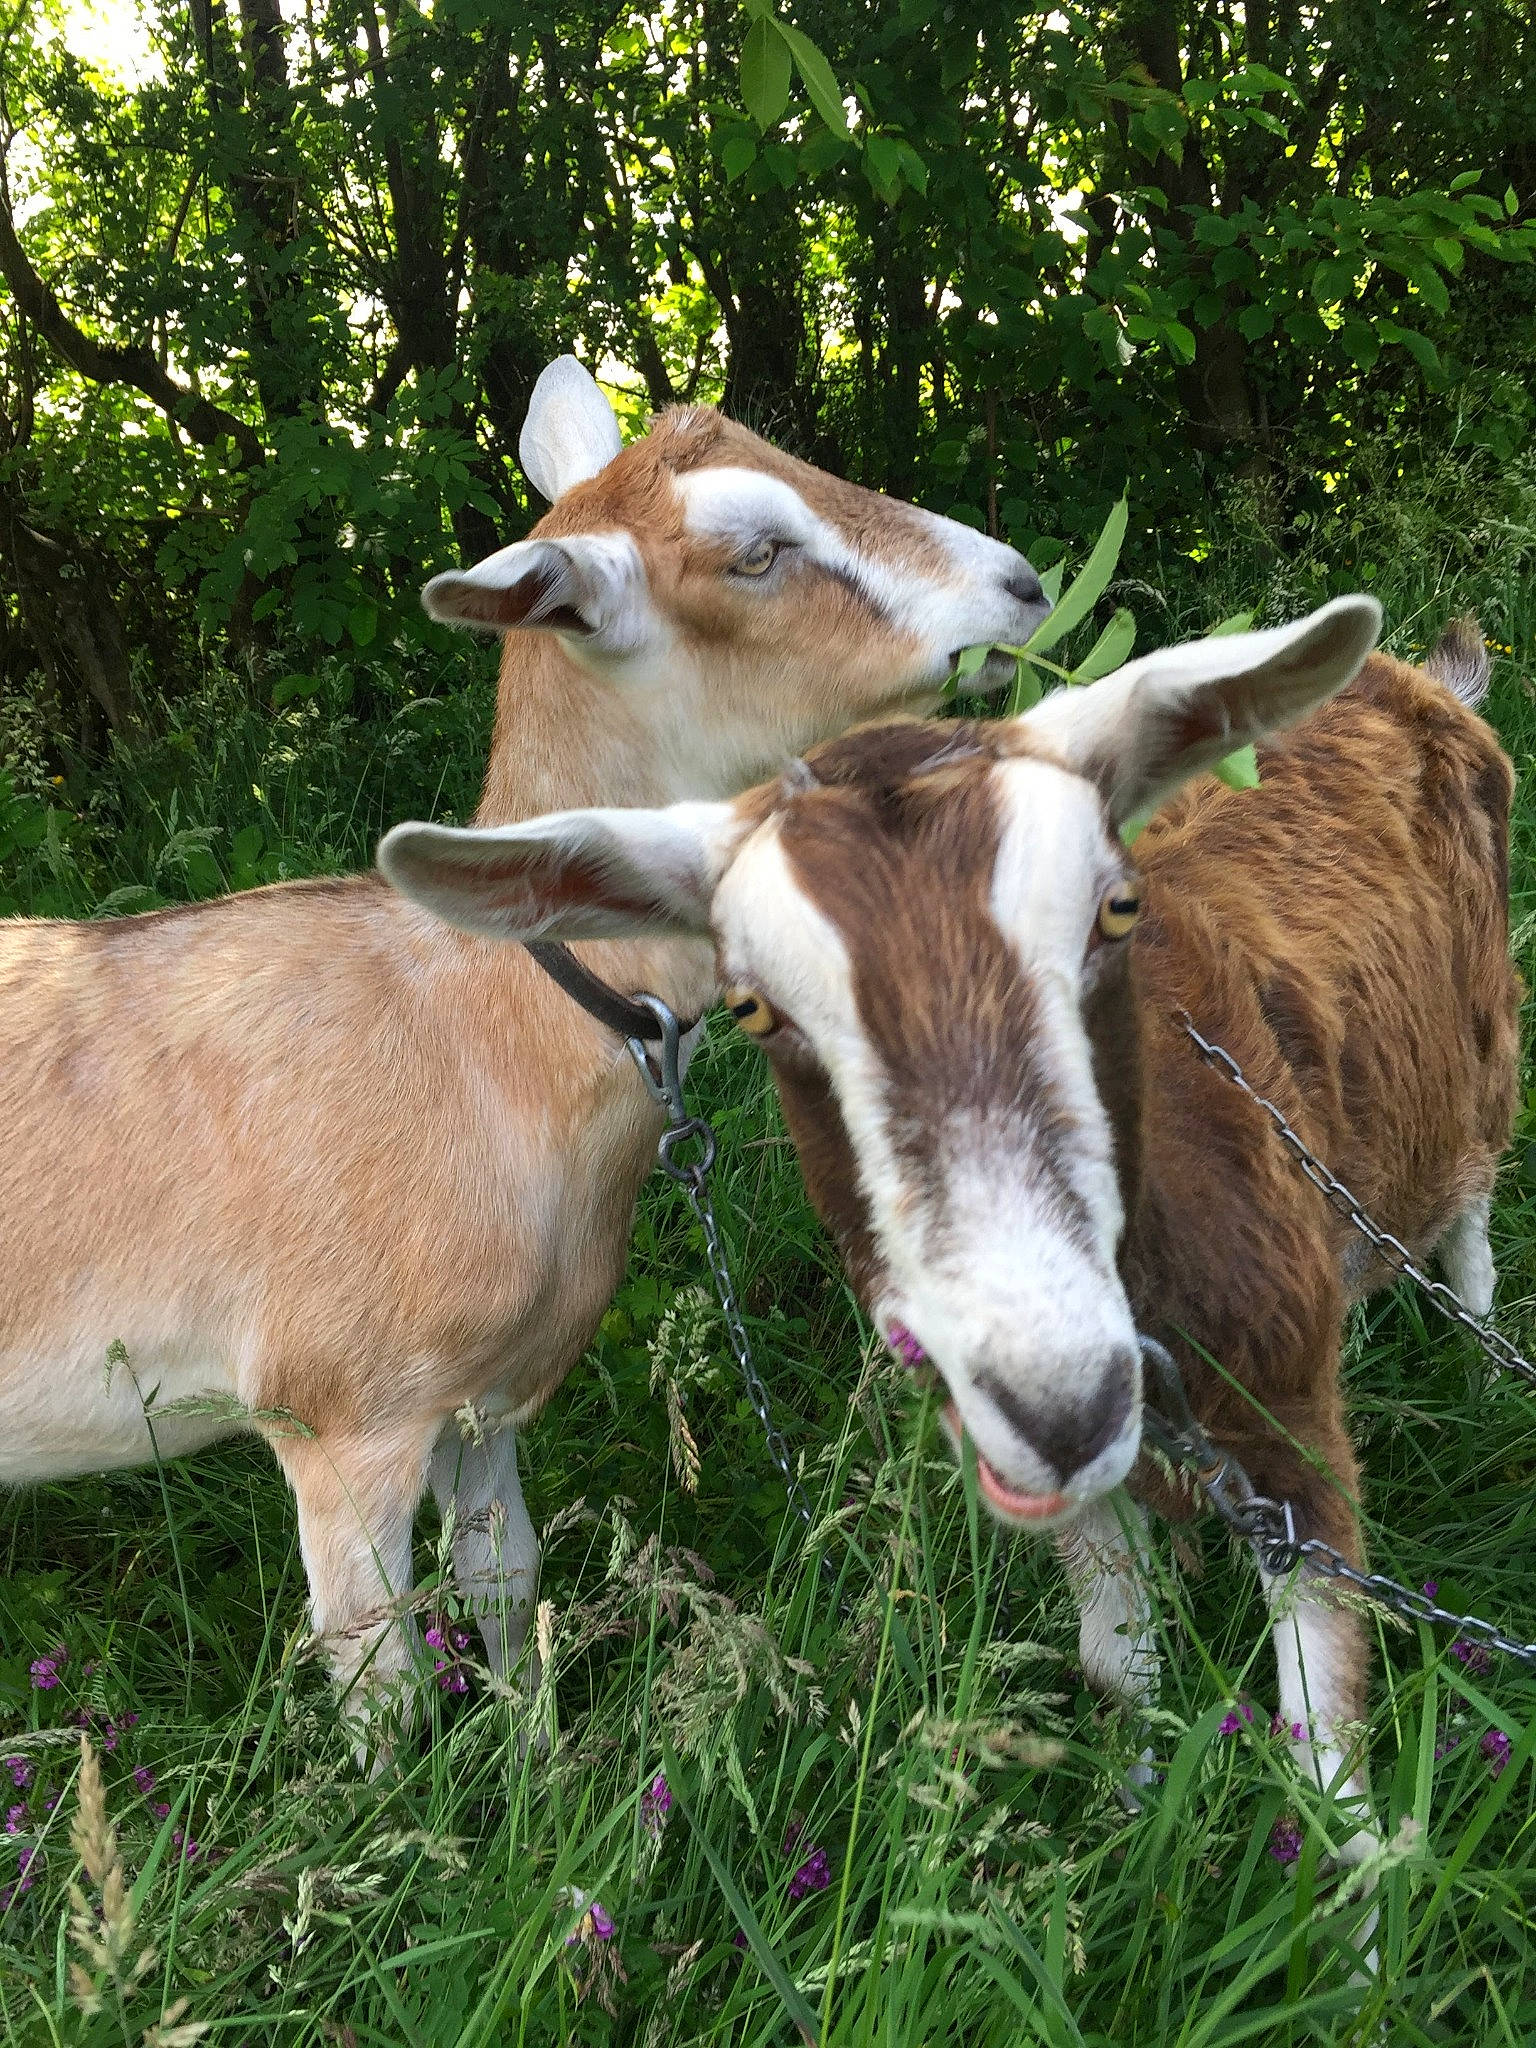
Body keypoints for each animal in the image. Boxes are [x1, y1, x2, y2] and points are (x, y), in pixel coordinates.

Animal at [0, 354, 1050, 1735]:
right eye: (756, 552)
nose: (1022, 583)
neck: (475, 1029)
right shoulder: (341, 1417)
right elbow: (380, 1681)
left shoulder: (480, 1403)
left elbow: (505, 1580)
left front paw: (535, 1755)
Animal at [380, 595, 1519, 1891]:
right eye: (753, 1005)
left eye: (1117, 909)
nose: (1062, 1397)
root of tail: (1419, 679)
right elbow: (1117, 1659)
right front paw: (1130, 1816)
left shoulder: (1286, 1423)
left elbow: (1326, 1756)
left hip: (1485, 1050)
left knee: (1470, 1215)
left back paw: (1483, 1375)